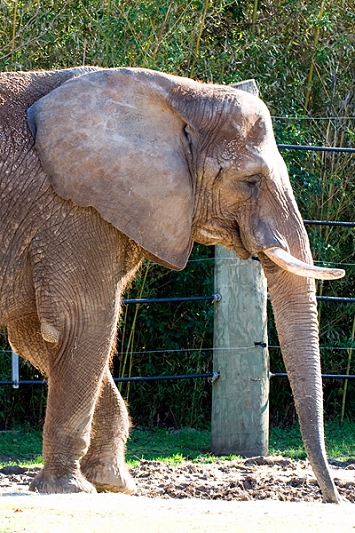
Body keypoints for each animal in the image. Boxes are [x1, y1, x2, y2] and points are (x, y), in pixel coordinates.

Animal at [0, 65, 344, 498]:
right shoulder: (72, 211)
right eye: (250, 180)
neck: (181, 93)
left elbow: (35, 334)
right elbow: (81, 323)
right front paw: (71, 489)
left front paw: (113, 483)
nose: (333, 498)